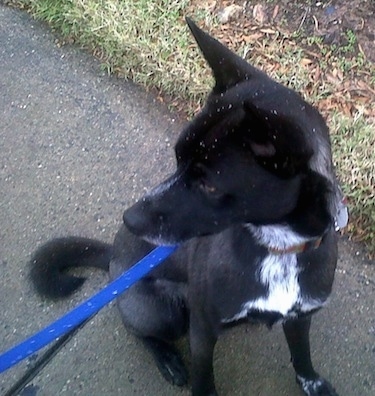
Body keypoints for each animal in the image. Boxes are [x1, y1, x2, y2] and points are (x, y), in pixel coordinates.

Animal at [30, 18, 348, 396]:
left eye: (209, 185)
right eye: (177, 157)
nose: (130, 219)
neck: (277, 246)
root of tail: (113, 258)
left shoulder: (301, 318)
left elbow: (301, 353)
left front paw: (312, 381)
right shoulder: (202, 328)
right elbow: (203, 374)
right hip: (162, 314)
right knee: (139, 331)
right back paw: (166, 357)